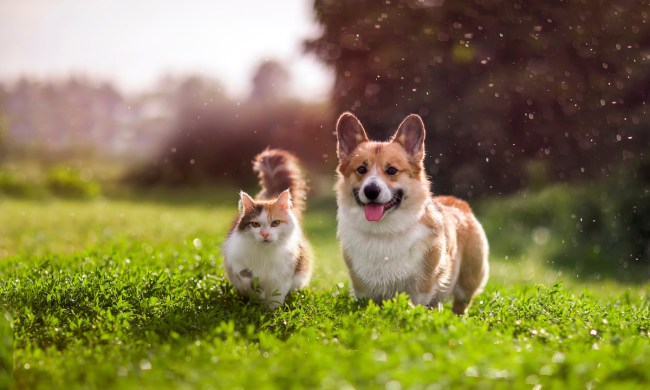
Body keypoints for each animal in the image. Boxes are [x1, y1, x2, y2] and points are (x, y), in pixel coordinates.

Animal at [221, 148, 312, 310]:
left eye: (275, 223)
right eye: (255, 225)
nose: (265, 234)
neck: (265, 253)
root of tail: (270, 196)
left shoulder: (283, 275)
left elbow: (276, 297)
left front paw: (271, 312)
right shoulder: (235, 260)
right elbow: (247, 278)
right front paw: (258, 295)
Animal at [334, 112, 486, 314]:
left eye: (392, 170)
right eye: (361, 169)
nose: (371, 191)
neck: (384, 231)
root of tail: (458, 202)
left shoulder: (421, 287)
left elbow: (416, 306)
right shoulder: (362, 289)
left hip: (467, 282)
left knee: (460, 305)